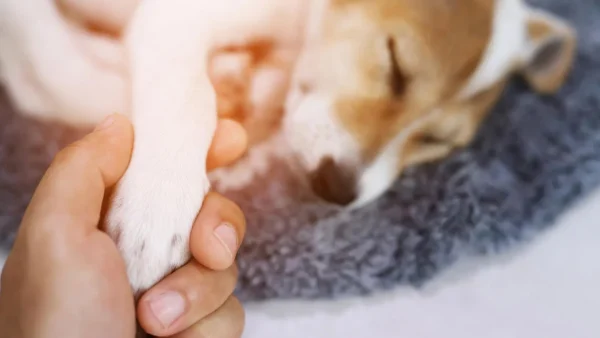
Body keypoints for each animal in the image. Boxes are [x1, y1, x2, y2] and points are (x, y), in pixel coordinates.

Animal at [0, 0, 576, 296]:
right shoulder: (175, 18)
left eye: (436, 140)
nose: (336, 188)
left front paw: (255, 103)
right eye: (396, 65)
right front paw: (157, 207)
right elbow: (185, 95)